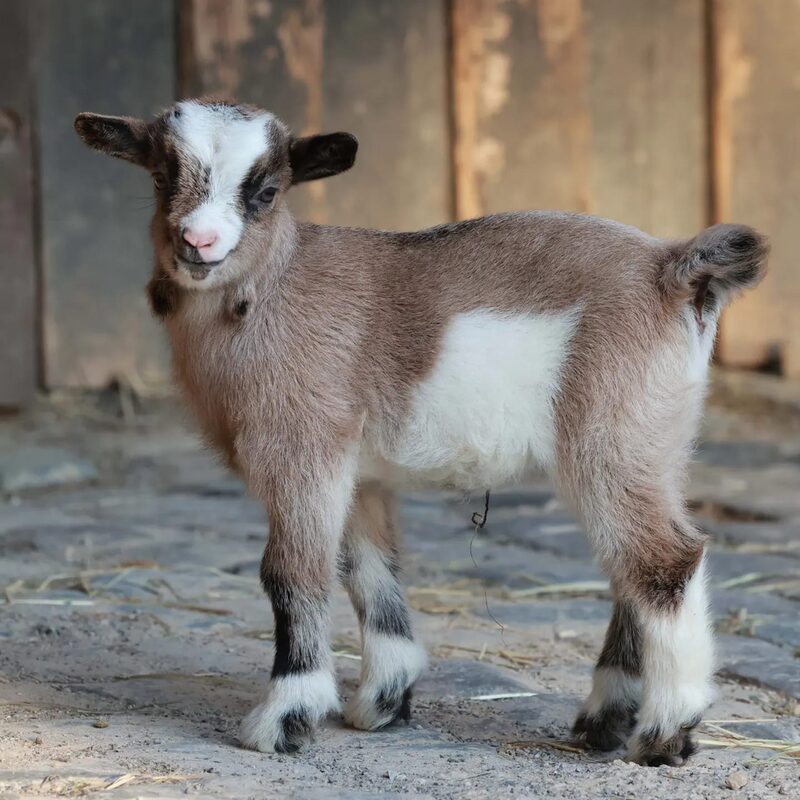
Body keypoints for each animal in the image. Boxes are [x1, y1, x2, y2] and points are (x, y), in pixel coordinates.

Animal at [76, 101, 768, 768]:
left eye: (267, 191)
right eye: (159, 177)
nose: (199, 241)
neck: (273, 284)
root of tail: (671, 267)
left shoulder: (302, 445)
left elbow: (294, 571)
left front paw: (285, 719)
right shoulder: (355, 468)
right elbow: (367, 568)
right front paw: (385, 698)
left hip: (611, 434)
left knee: (662, 561)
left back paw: (665, 732)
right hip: (657, 443)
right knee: (631, 565)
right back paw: (604, 721)